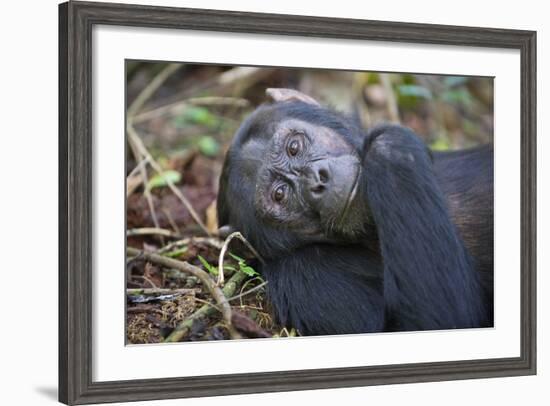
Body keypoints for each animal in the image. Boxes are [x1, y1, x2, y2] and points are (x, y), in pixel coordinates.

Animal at [217, 88, 496, 336]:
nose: (317, 180)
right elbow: (430, 320)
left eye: (293, 147)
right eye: (279, 194)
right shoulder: (304, 275)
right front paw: (388, 145)